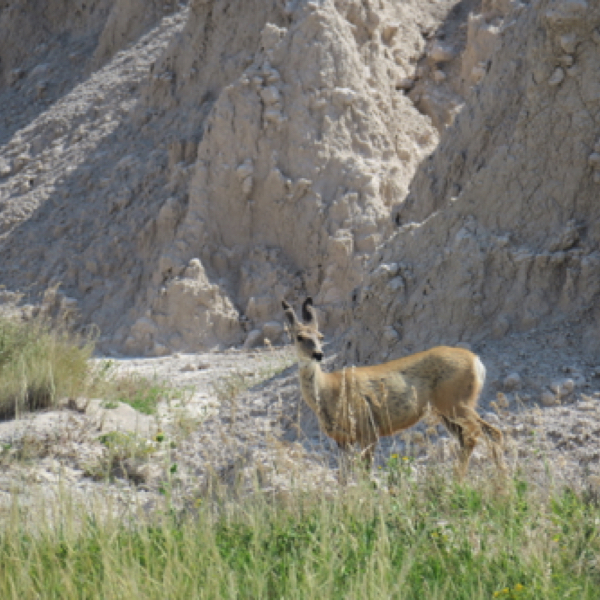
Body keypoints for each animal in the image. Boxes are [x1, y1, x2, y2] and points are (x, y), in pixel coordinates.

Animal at [282, 296, 506, 478]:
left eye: (320, 336)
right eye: (299, 337)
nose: (318, 354)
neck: (329, 391)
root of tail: (477, 361)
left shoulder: (368, 428)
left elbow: (365, 474)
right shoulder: (342, 440)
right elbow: (343, 479)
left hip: (456, 401)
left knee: (489, 433)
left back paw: (499, 483)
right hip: (446, 411)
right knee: (470, 438)